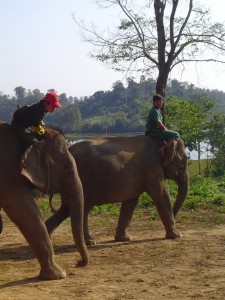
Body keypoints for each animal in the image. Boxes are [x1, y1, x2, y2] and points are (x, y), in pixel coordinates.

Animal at [45, 135, 188, 245]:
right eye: (185, 160)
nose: (175, 215)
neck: (160, 141)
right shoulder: (152, 166)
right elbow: (161, 194)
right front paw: (177, 235)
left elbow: (130, 202)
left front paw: (124, 239)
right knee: (81, 209)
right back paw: (89, 242)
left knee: (67, 208)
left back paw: (49, 238)